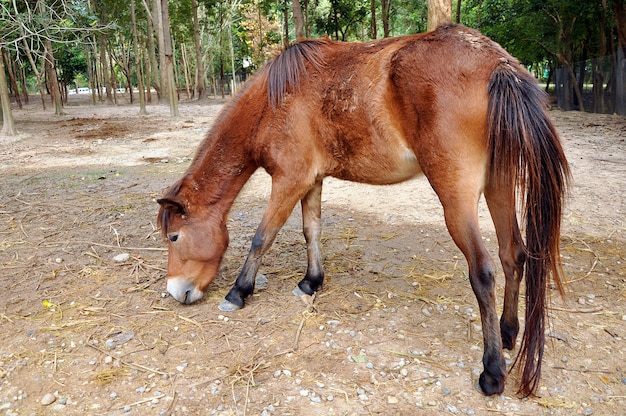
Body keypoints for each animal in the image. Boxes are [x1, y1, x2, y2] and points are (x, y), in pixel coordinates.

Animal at [158, 23, 568, 396]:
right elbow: (311, 230)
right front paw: (311, 282)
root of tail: (496, 62)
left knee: (483, 271)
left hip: (457, 198)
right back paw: (507, 332)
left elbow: (263, 237)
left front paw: (238, 292)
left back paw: (492, 370)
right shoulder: (311, 180)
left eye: (175, 237)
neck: (274, 100)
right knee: (513, 254)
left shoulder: (289, 180)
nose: (177, 292)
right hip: (500, 185)